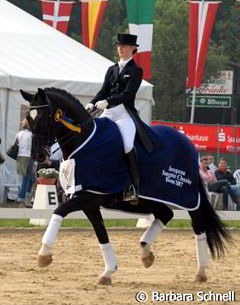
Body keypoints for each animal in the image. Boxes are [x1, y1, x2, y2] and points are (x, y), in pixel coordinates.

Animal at [20, 86, 231, 284]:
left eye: (45, 117)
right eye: (29, 118)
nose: (39, 155)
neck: (85, 143)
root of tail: (188, 143)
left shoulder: (90, 195)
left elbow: (59, 211)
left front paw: (44, 254)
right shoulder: (89, 202)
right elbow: (101, 234)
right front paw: (108, 272)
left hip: (185, 196)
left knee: (198, 226)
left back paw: (201, 271)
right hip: (151, 198)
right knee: (165, 214)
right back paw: (146, 252)